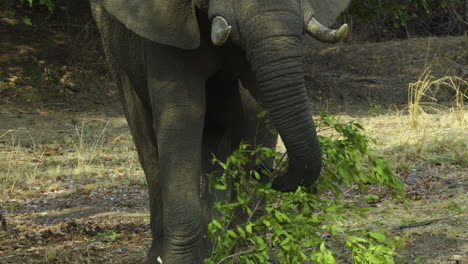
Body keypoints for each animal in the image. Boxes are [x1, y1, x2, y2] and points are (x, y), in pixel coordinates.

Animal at [89, 0, 350, 262]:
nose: (270, 172)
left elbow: (257, 107)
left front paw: (248, 254)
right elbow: (183, 112)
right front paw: (181, 260)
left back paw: (214, 249)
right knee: (144, 134)